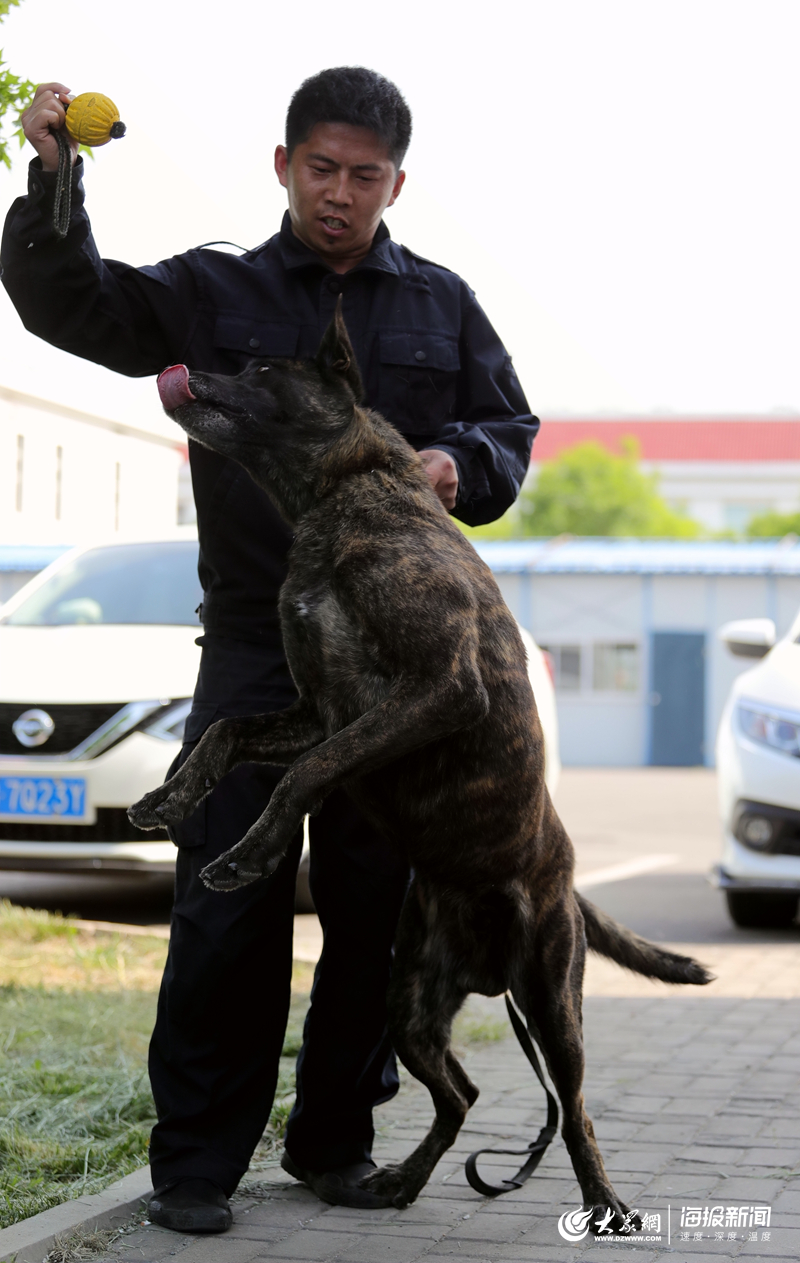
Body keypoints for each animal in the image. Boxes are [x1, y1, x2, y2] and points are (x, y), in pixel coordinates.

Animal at [130, 308, 712, 1232]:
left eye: (260, 367)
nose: (180, 366)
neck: (346, 497)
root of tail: (561, 881)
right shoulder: (317, 711)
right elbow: (224, 731)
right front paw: (170, 795)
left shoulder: (435, 688)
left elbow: (308, 771)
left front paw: (249, 854)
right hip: (407, 1003)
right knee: (460, 1093)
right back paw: (400, 1179)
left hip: (554, 1000)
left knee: (575, 1110)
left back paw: (603, 1200)